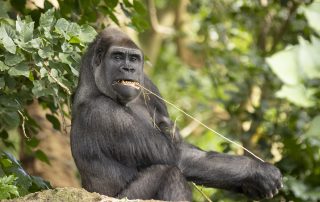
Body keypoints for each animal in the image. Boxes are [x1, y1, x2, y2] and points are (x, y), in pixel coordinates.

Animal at [70, 27, 282, 201]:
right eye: (117, 56)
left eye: (133, 59)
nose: (128, 68)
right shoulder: (104, 112)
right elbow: (176, 156)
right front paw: (256, 171)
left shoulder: (147, 83)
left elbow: (174, 137)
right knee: (168, 173)